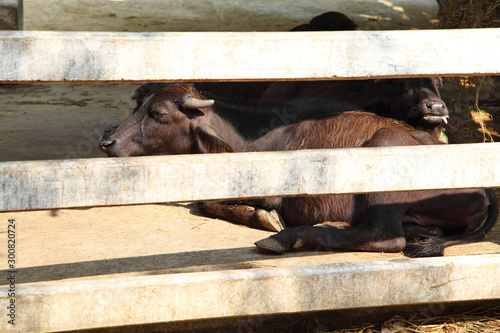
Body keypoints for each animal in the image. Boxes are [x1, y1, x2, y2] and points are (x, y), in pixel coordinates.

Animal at [99, 83, 498, 256]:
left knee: (387, 237)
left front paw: (265, 220)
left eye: (158, 114)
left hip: (383, 152)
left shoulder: (273, 192)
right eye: (137, 107)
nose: (107, 141)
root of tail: (483, 188)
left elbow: (206, 203)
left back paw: (291, 237)